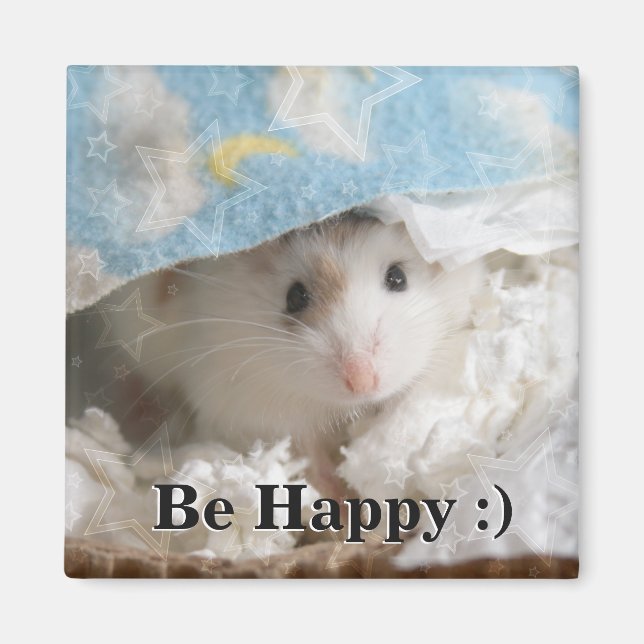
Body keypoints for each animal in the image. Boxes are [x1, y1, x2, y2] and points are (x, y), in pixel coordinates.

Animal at [109, 211, 483, 496]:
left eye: (397, 277)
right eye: (295, 297)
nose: (362, 382)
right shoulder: (257, 409)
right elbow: (307, 456)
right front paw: (343, 502)